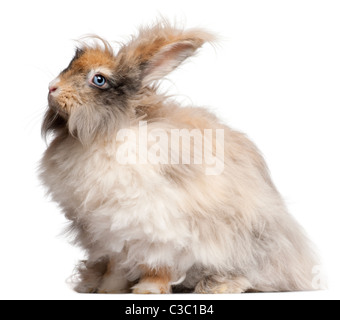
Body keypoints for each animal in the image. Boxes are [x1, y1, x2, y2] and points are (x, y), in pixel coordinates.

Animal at [39, 20, 318, 294]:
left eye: (99, 79)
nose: (52, 87)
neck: (109, 131)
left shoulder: (158, 227)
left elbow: (158, 265)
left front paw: (147, 290)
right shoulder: (110, 234)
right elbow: (116, 267)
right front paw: (109, 290)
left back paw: (217, 287)